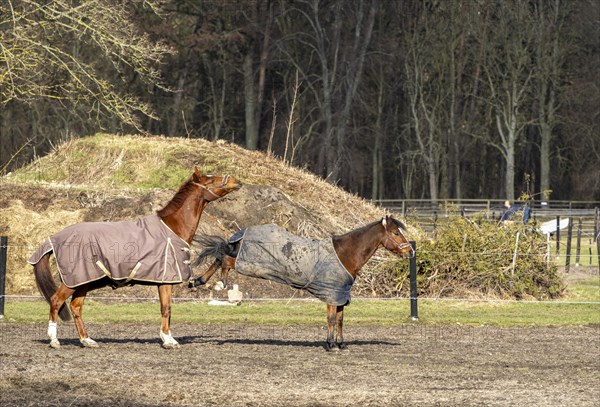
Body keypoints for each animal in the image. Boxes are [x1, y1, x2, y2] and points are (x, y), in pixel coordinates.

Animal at [29, 167, 241, 350]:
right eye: (211, 180)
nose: (235, 181)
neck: (173, 228)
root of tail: (55, 238)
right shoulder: (166, 281)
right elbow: (166, 308)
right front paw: (168, 340)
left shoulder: (162, 282)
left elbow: (166, 309)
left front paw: (167, 337)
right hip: (73, 281)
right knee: (56, 301)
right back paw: (54, 340)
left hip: (83, 281)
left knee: (76, 307)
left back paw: (86, 340)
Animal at [192, 215, 412, 352]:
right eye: (396, 233)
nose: (410, 251)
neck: (345, 253)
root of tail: (244, 231)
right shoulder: (331, 294)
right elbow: (331, 319)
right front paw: (331, 345)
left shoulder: (340, 294)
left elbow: (340, 320)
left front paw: (341, 344)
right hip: (249, 264)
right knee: (224, 259)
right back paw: (215, 281)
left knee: (221, 255)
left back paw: (202, 281)